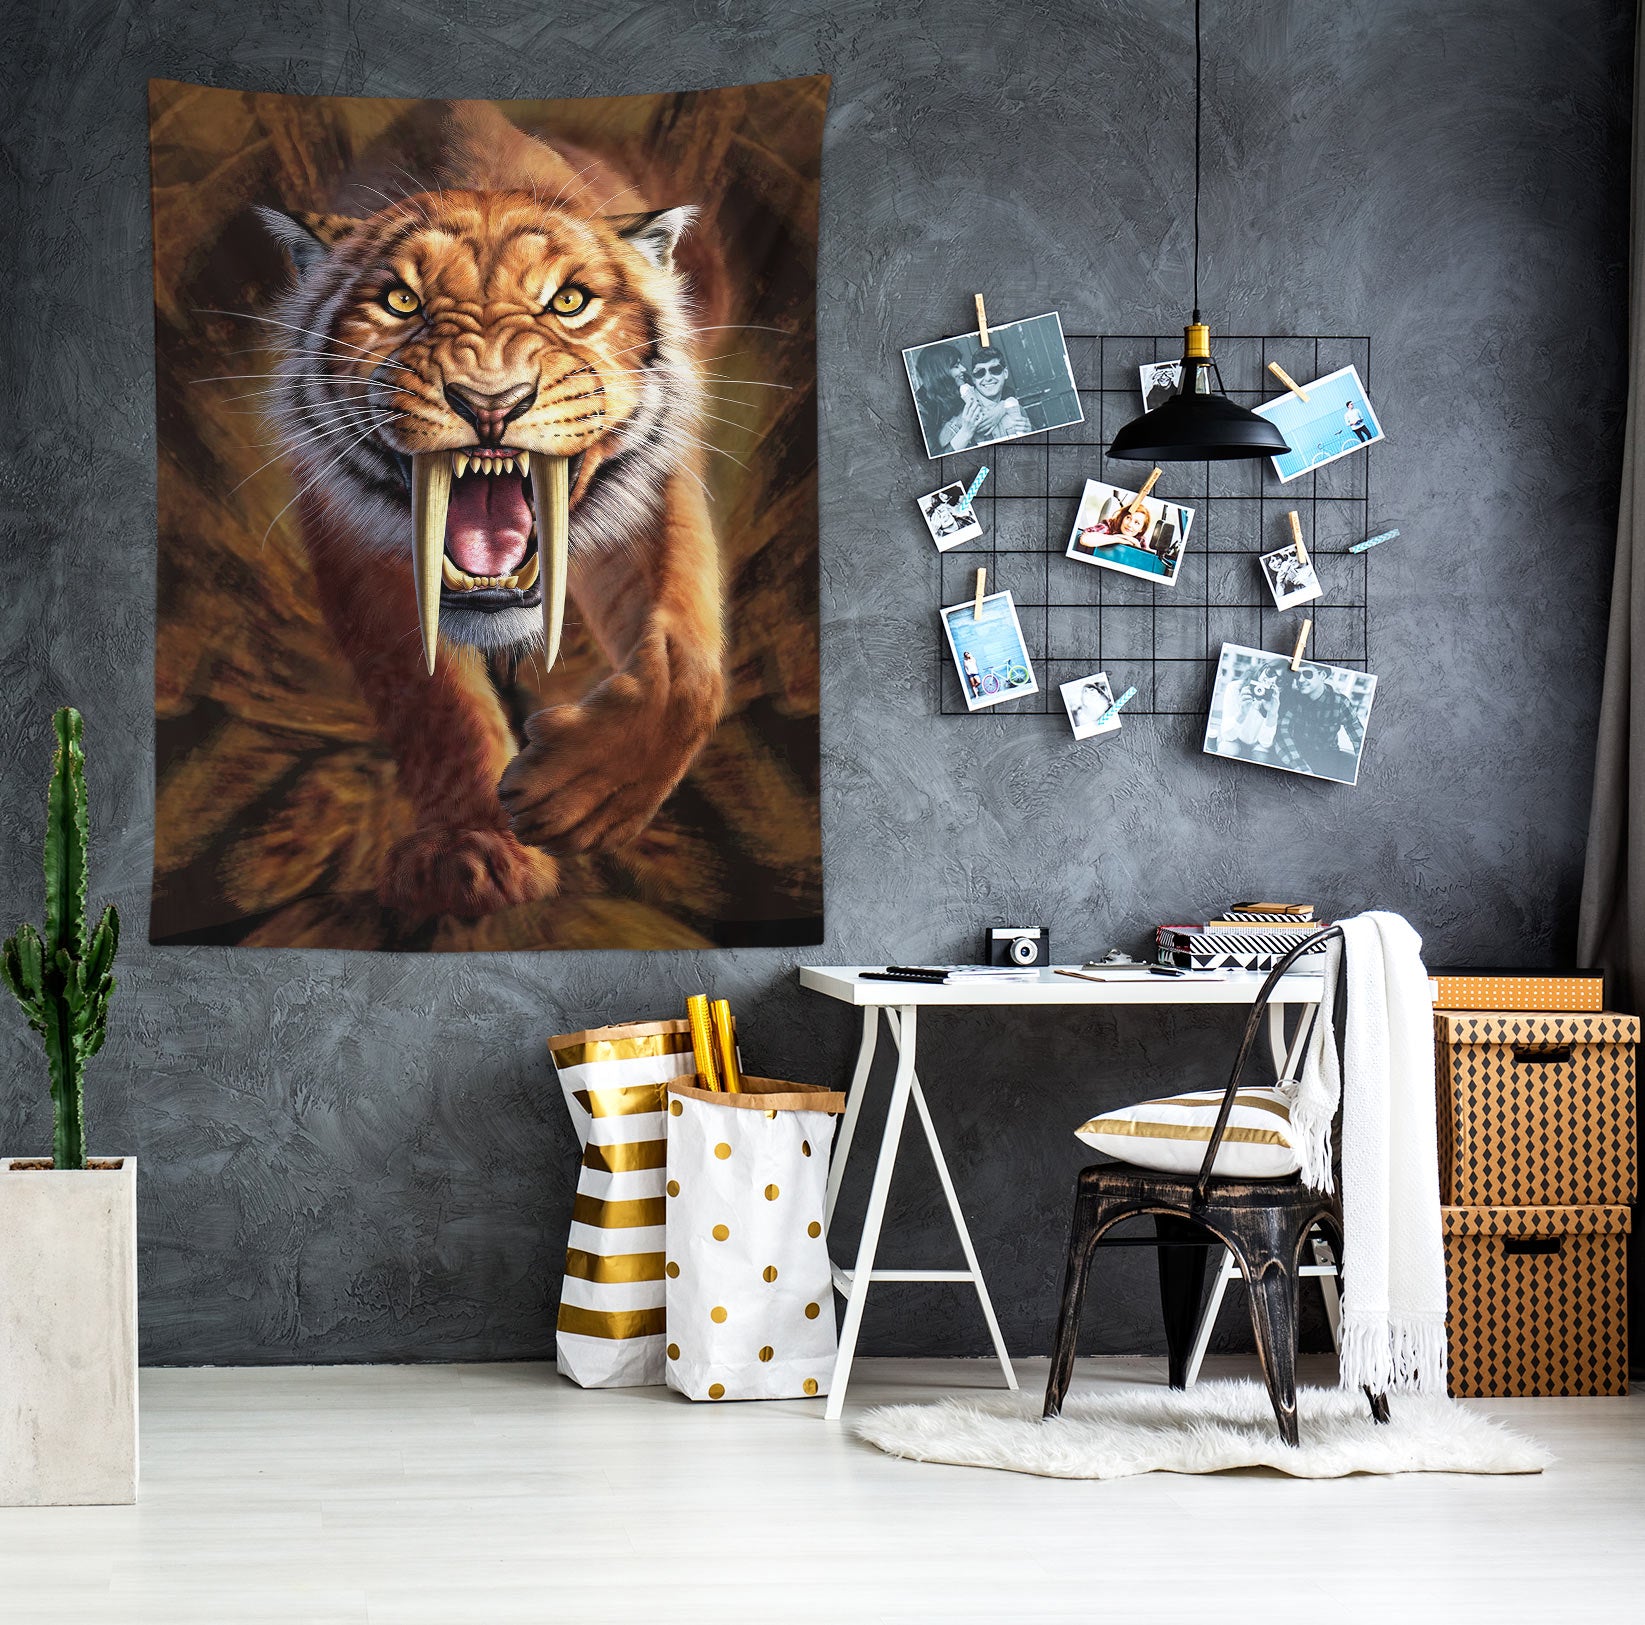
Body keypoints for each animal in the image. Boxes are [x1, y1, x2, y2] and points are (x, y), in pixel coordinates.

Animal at [253, 101, 725, 920]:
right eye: (400, 301)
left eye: (568, 301)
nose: (490, 402)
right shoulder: (354, 540)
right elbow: (433, 699)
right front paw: (471, 850)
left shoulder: (653, 489)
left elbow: (685, 666)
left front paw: (578, 798)